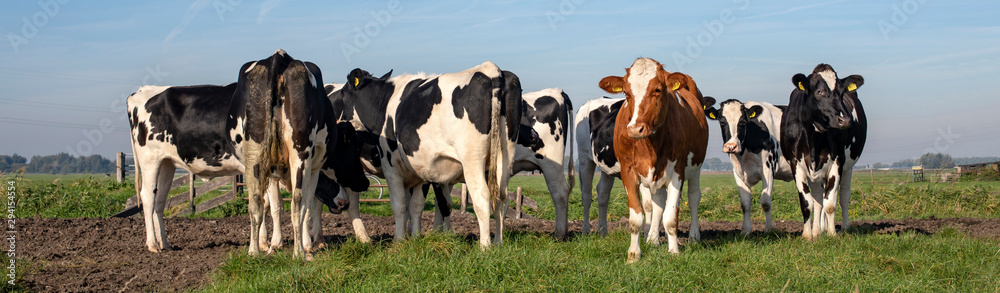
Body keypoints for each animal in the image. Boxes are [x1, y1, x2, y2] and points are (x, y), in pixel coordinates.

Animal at [326, 62, 520, 248]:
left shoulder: (391, 165)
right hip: (504, 156)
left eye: (343, 94)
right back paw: (498, 243)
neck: (383, 103)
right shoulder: (420, 171)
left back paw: (485, 246)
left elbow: (400, 205)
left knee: (482, 196)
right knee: (502, 198)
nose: (339, 120)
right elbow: (415, 206)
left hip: (472, 157)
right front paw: (414, 237)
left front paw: (399, 240)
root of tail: (490, 69)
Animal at [576, 97, 620, 234]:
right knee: (586, 194)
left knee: (602, 194)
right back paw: (585, 230)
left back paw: (602, 230)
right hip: (585, 157)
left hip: (607, 165)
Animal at [596, 57, 708, 262]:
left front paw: (674, 251)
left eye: (657, 90)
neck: (649, 145)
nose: (635, 129)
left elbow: (671, 217)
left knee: (694, 198)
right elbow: (637, 217)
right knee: (657, 204)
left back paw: (694, 236)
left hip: (696, 166)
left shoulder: (677, 171)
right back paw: (653, 239)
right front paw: (634, 254)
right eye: (626, 92)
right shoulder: (628, 170)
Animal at [708, 97, 792, 234]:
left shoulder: (769, 169)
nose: (731, 146)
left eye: (742, 123)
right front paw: (745, 231)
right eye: (722, 122)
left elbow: (765, 202)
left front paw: (769, 229)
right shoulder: (738, 172)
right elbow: (745, 203)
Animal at [780, 62, 868, 238]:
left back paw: (842, 227)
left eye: (842, 92)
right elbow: (807, 203)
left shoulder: (837, 161)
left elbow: (830, 203)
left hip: (848, 167)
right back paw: (817, 230)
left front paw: (832, 234)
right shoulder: (796, 164)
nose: (844, 120)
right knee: (817, 199)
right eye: (819, 92)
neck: (815, 137)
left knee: (843, 196)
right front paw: (807, 235)